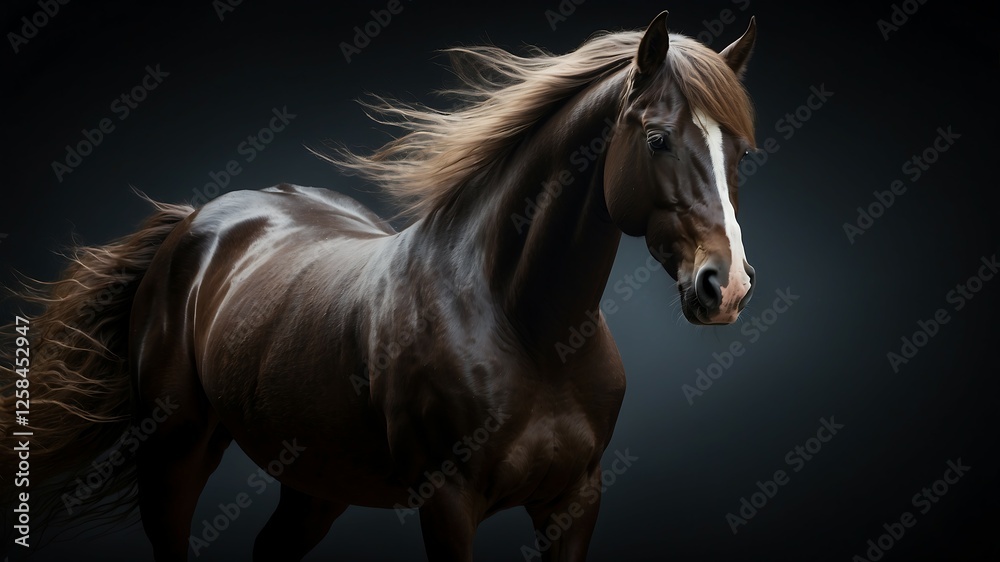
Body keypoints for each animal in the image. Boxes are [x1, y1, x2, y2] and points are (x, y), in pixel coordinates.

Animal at [0, 11, 759, 561]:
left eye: (739, 151)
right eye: (657, 139)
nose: (726, 287)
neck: (528, 330)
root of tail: (194, 221)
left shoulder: (575, 503)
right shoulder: (449, 504)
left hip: (313, 479)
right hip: (176, 452)